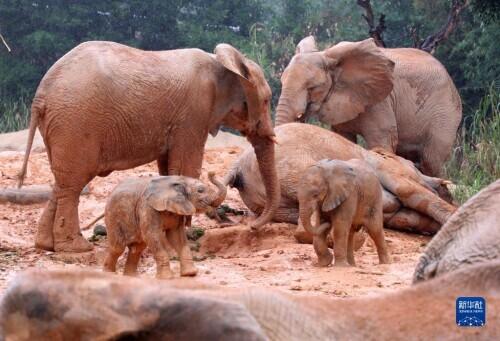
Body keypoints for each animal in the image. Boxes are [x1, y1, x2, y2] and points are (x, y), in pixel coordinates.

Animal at [17, 40, 280, 252]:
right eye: (267, 100)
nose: (252, 227)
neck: (225, 62)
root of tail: (40, 95)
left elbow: (168, 166)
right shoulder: (194, 113)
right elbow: (185, 164)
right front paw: (184, 235)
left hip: (60, 126)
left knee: (62, 182)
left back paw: (46, 245)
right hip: (75, 122)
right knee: (73, 183)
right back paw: (76, 248)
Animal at [227, 122, 458, 234]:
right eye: (414, 168)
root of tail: (238, 166)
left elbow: (405, 217)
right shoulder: (388, 168)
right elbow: (409, 190)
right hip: (293, 164)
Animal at [276, 36, 462, 177]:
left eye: (312, 88)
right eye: (281, 82)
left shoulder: (380, 101)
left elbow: (381, 141)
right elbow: (342, 139)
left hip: (445, 112)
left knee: (431, 161)